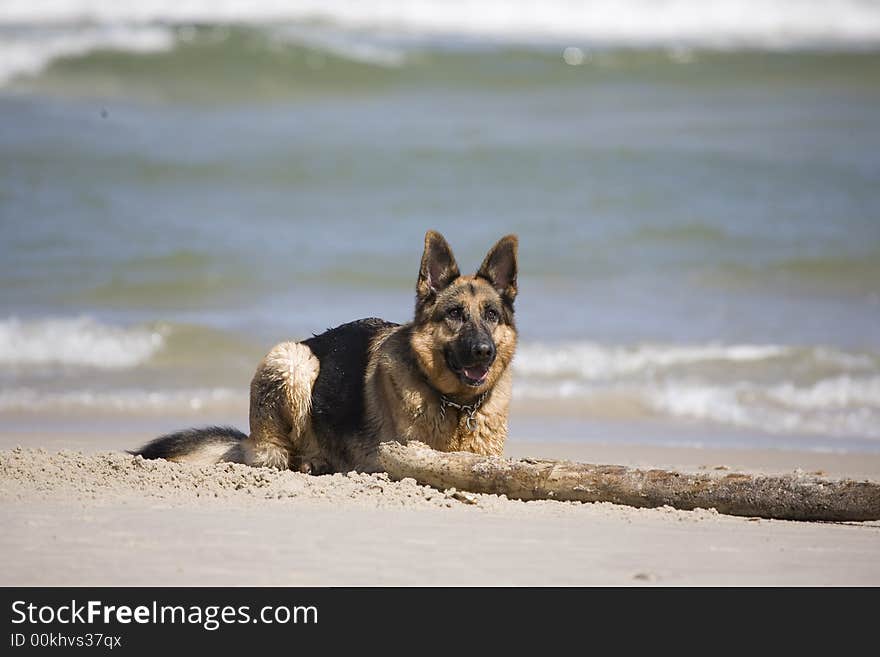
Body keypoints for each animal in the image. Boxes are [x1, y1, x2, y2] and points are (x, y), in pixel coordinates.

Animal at [132, 231, 516, 472]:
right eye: (454, 314)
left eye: (491, 315)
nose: (483, 352)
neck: (457, 406)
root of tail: (251, 439)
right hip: (296, 361)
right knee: (285, 453)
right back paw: (313, 462)